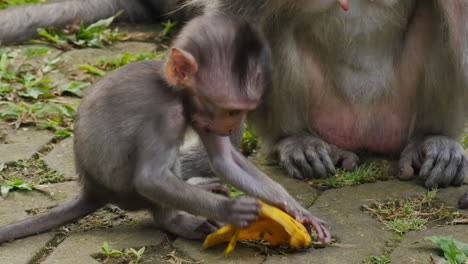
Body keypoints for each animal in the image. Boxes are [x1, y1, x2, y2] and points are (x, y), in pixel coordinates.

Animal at [0, 15, 330, 243]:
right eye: (233, 111)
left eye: (245, 111)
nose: (234, 125)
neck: (176, 92)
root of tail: (92, 188)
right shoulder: (166, 117)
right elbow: (150, 178)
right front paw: (232, 211)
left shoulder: (201, 116)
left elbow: (224, 161)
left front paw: (297, 210)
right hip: (124, 190)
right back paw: (175, 220)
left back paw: (195, 186)